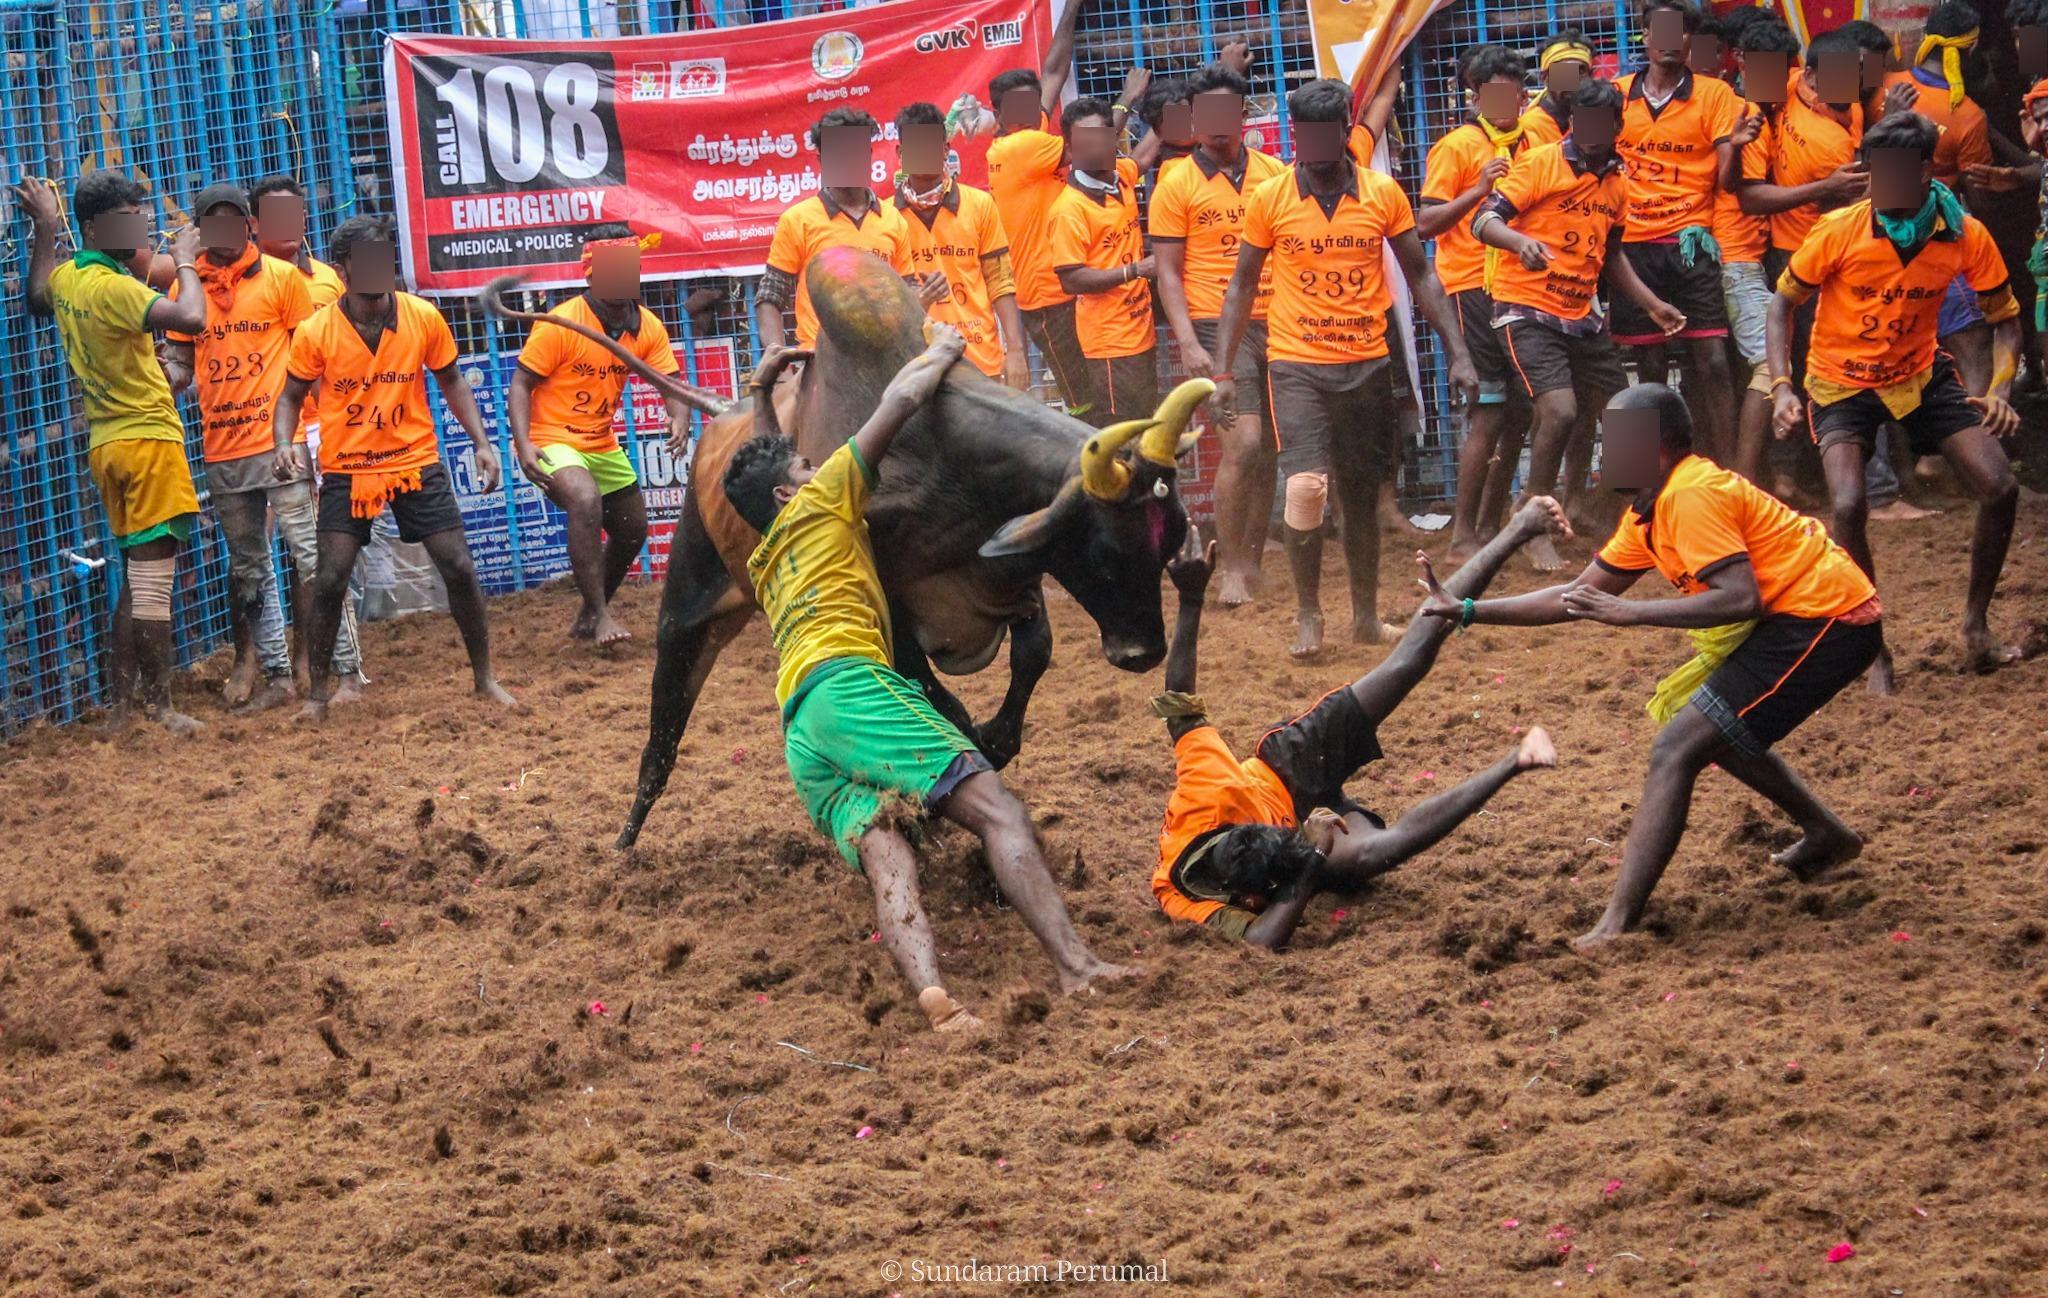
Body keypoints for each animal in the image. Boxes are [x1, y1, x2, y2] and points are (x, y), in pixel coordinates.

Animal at [484, 246, 1211, 849]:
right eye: (1106, 554)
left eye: (1168, 542)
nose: (1142, 653)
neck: (952, 465)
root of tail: (723, 419)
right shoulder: (892, 614)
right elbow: (941, 702)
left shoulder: (1016, 583)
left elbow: (1031, 660)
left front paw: (992, 743)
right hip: (689, 606)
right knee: (662, 733)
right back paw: (625, 842)